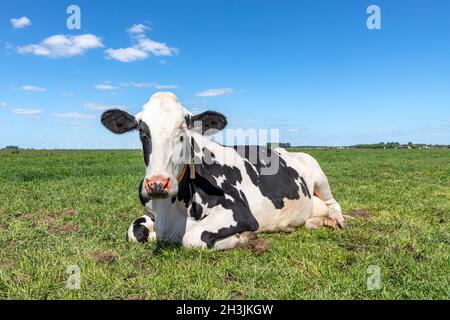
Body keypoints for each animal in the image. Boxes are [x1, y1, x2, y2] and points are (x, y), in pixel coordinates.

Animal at [101, 91, 348, 249]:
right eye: (142, 130)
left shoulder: (240, 212)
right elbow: (134, 232)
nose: (158, 184)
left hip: (317, 171)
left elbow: (192, 238)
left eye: (184, 128)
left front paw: (243, 237)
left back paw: (338, 221)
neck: (169, 212)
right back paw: (318, 222)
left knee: (333, 204)